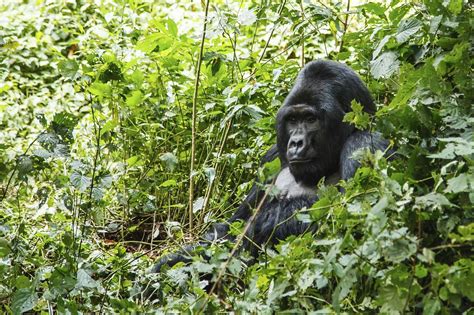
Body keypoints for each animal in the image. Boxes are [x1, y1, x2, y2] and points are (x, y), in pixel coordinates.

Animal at [151, 60, 388, 272]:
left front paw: (263, 223)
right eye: (292, 120)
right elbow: (229, 228)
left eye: (310, 119)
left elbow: (349, 227)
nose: (296, 142)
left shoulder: (364, 144)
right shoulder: (271, 157)